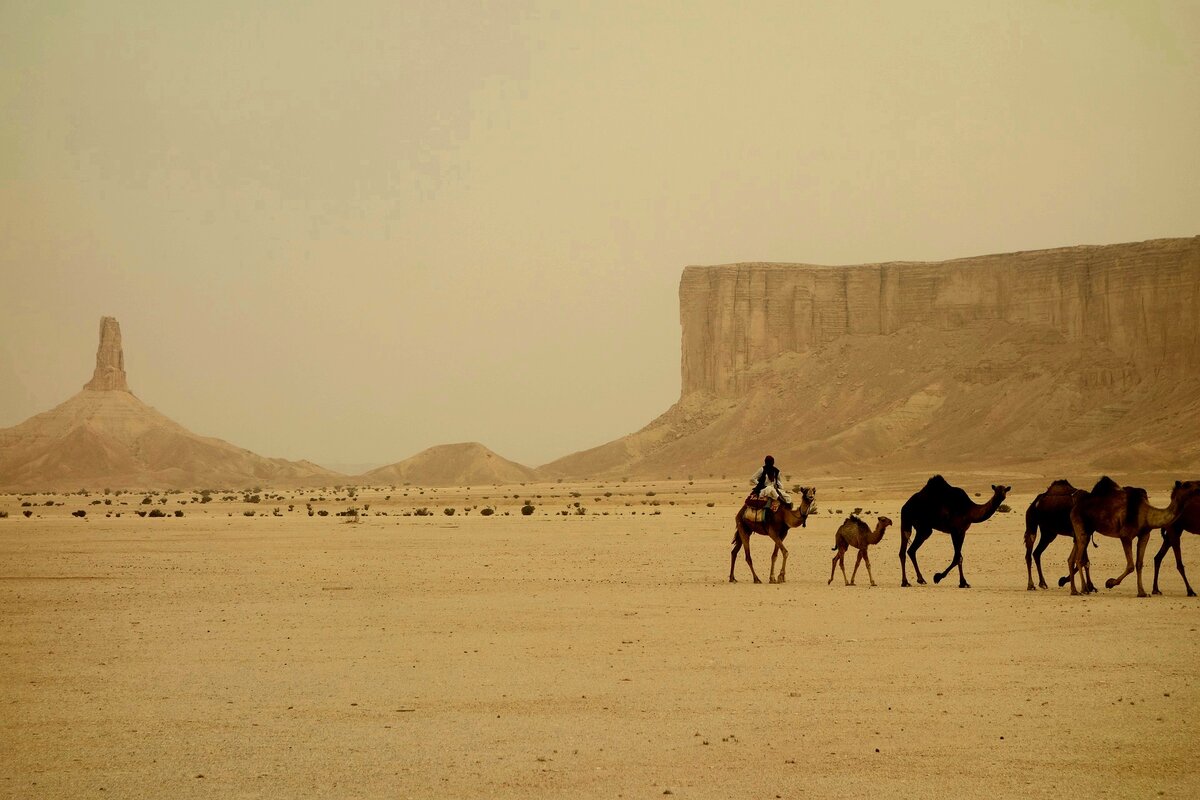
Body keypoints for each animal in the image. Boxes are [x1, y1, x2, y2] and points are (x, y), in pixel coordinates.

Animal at [1065, 479, 1200, 597]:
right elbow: (1130, 565)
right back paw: (1084, 589)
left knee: (1072, 557)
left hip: (1086, 530)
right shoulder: (1125, 535)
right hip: (1080, 524)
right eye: (1187, 484)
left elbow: (1139, 563)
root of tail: (1074, 507)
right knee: (1079, 558)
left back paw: (1074, 590)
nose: (1199, 484)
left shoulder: (1144, 535)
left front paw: (1142, 593)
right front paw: (1110, 583)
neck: (1146, 514)